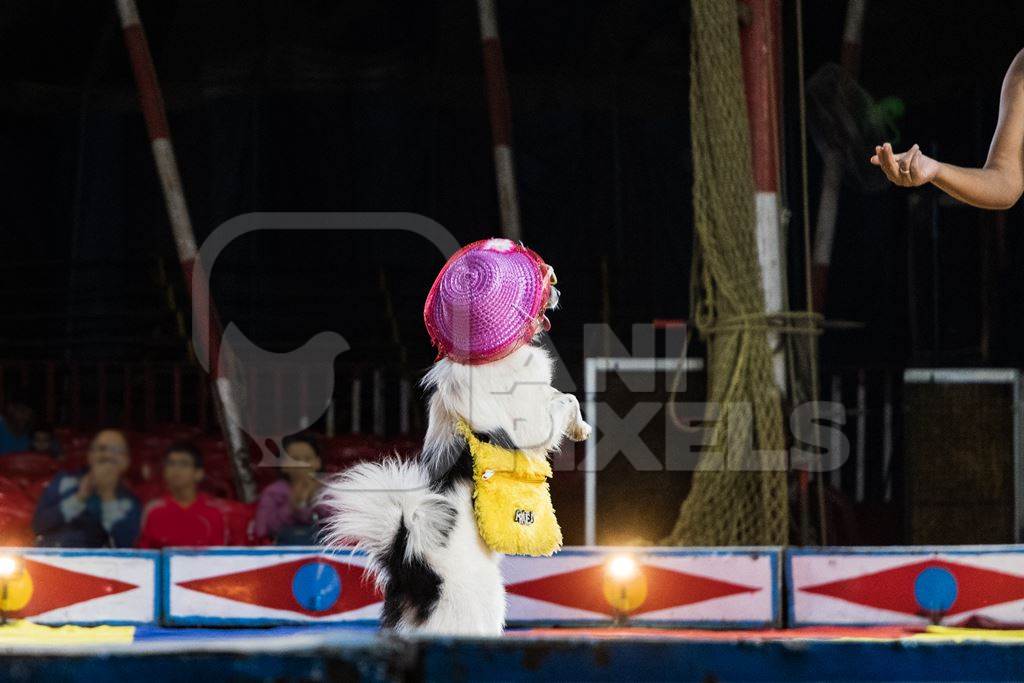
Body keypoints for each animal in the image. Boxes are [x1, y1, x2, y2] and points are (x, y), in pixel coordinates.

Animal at [319, 339, 593, 634]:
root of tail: (408, 562)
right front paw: (580, 428)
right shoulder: (530, 425)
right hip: (484, 604)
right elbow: (566, 399)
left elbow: (557, 395)